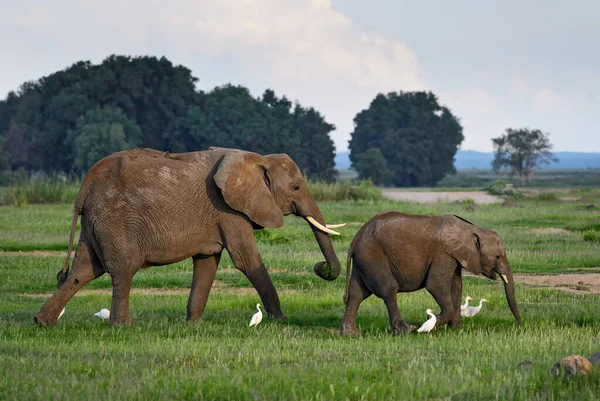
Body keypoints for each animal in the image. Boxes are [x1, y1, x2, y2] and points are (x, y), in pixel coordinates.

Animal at [34, 146, 342, 324]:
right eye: (296, 188)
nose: (321, 267)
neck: (257, 159)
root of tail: (84, 187)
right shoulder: (229, 210)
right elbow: (246, 260)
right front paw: (282, 320)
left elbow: (207, 262)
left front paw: (195, 324)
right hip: (114, 219)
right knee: (122, 270)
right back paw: (122, 326)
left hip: (95, 222)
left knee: (83, 270)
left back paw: (42, 322)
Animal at [340, 212, 524, 334]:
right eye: (498, 257)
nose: (521, 325)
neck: (470, 228)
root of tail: (355, 240)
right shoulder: (442, 254)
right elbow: (436, 285)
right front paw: (431, 325)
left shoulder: (454, 257)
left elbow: (456, 286)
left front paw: (455, 330)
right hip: (374, 256)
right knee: (388, 289)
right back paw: (407, 330)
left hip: (365, 260)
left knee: (357, 294)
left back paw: (351, 334)